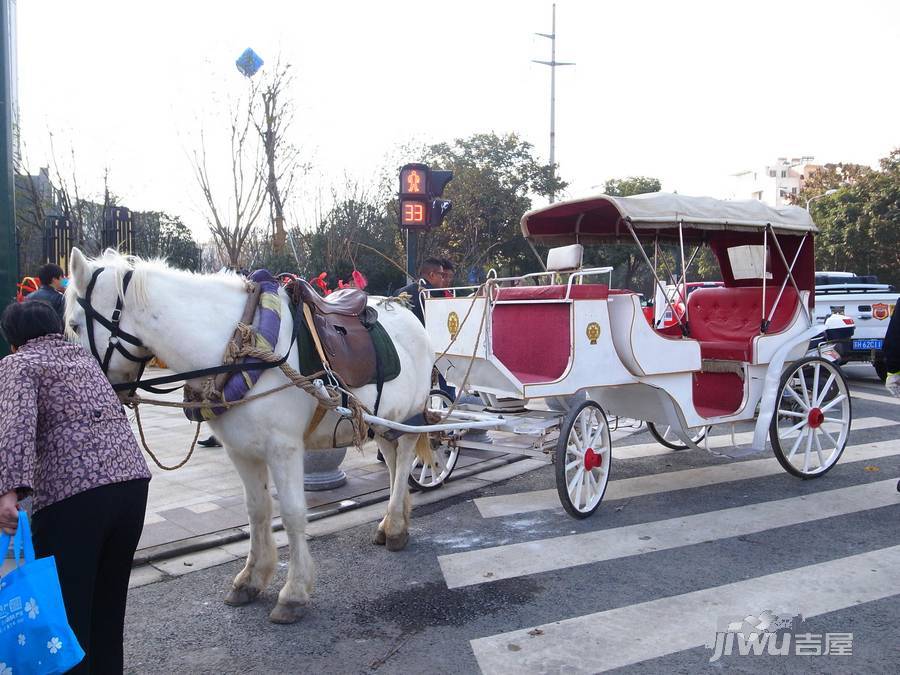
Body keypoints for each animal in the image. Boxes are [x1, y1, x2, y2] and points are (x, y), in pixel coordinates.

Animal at [65, 248, 434, 624]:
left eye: (75, 325)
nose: (87, 394)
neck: (239, 350)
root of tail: (404, 307)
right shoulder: (240, 450)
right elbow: (257, 510)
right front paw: (251, 579)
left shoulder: (284, 449)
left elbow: (292, 514)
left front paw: (294, 592)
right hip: (382, 420)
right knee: (393, 462)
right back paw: (393, 519)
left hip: (410, 416)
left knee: (404, 458)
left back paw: (396, 526)